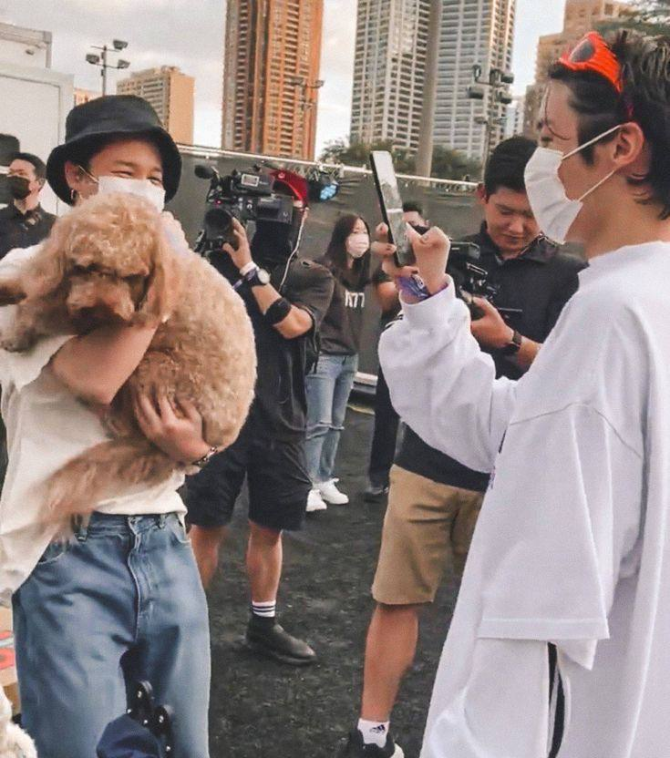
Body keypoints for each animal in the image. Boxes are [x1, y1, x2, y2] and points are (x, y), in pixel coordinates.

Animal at [0, 192, 257, 519]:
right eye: (86, 267)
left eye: (133, 277)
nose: (102, 308)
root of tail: (225, 435)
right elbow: (30, 283)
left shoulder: (94, 322)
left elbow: (40, 308)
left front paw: (18, 332)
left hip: (154, 370)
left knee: (129, 426)